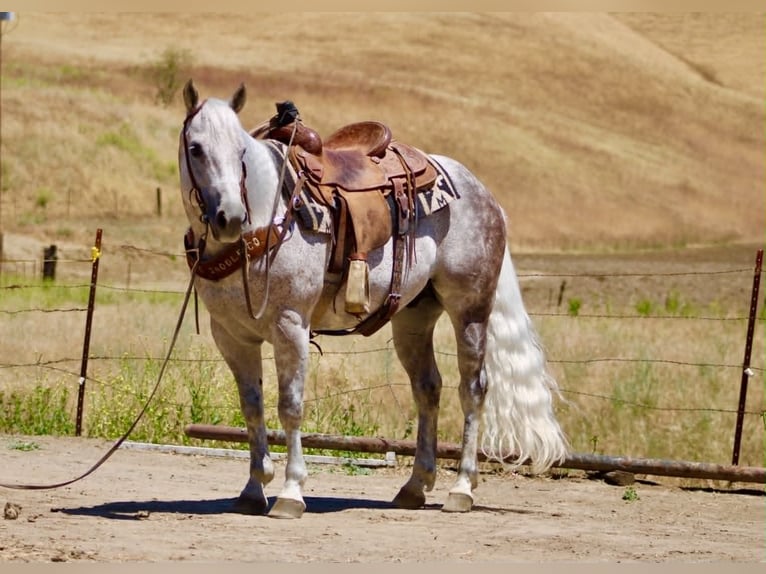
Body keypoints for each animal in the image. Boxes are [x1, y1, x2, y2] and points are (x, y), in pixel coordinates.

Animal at [178, 79, 568, 519]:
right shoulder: (231, 335)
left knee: (473, 388)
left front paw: (291, 492)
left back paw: (462, 489)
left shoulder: (290, 325)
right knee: (427, 388)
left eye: (240, 151)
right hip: (413, 318)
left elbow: (290, 405)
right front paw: (252, 488)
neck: (268, 217)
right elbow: (252, 406)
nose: (229, 216)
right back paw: (414, 486)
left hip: (470, 308)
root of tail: (483, 193)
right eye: (196, 148)